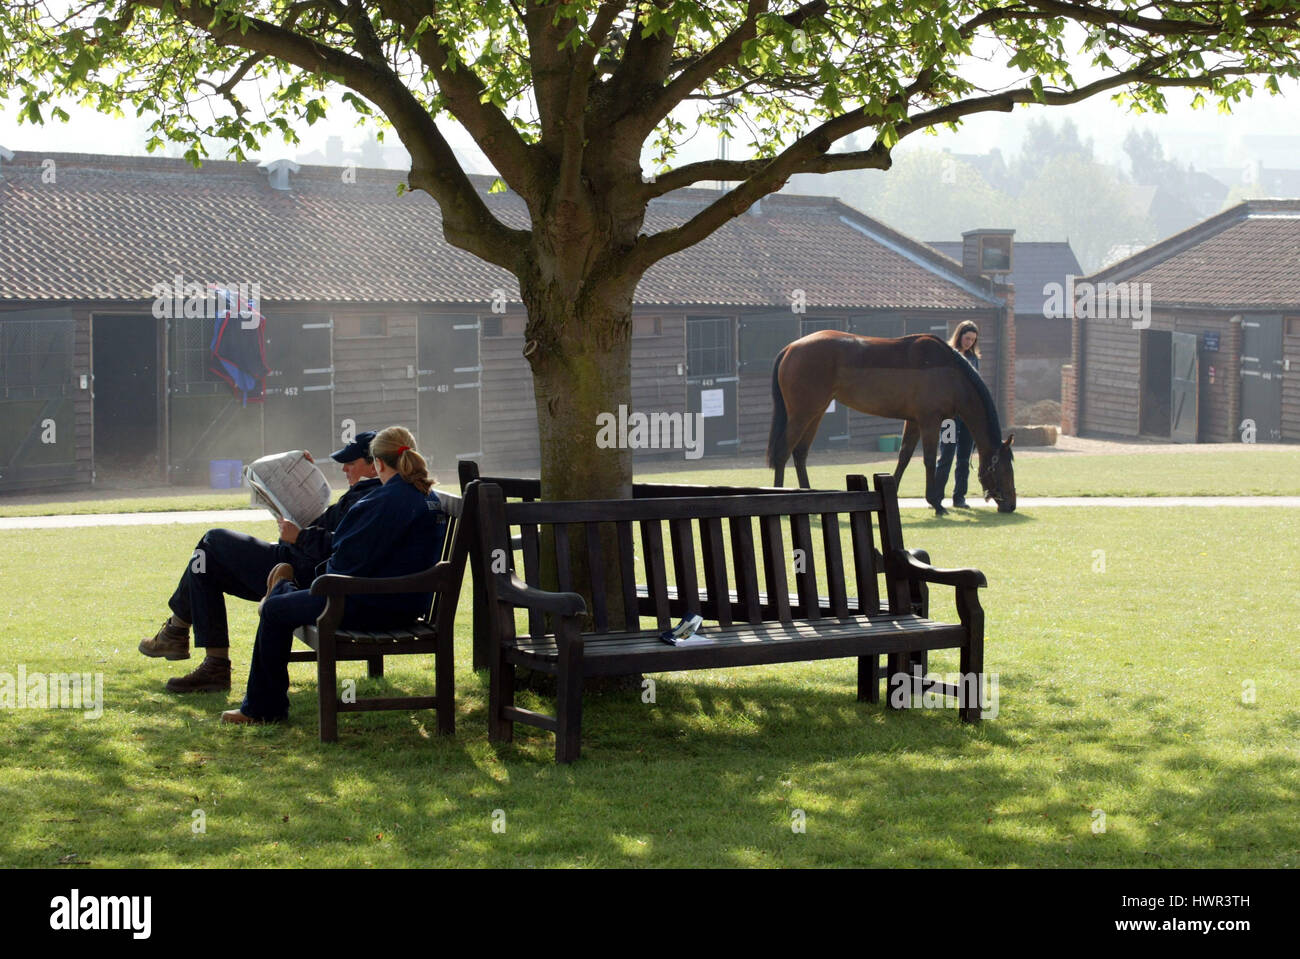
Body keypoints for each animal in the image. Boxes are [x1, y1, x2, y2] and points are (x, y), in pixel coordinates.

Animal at [759, 330, 1013, 511]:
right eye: (1004, 468)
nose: (1011, 505)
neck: (950, 373)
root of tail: (790, 348)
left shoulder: (913, 421)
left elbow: (904, 456)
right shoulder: (929, 421)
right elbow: (929, 459)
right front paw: (935, 502)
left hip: (815, 412)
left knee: (800, 453)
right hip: (802, 413)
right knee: (783, 451)